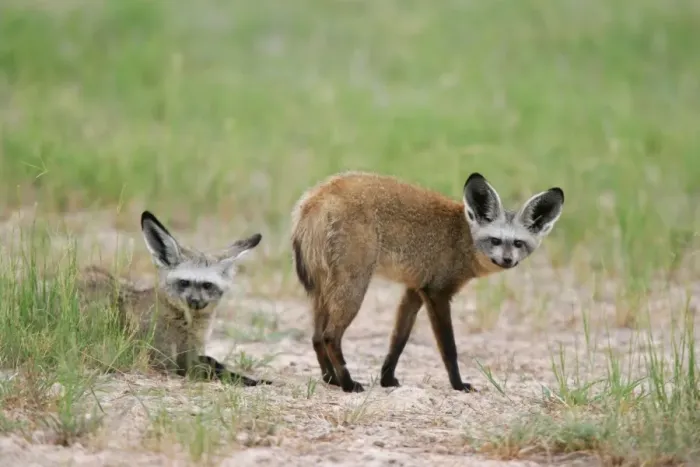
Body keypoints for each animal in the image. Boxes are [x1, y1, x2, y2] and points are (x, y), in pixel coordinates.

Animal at [76, 210, 272, 386]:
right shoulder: (165, 362)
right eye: (184, 282)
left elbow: (215, 364)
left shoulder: (190, 355)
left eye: (207, 285)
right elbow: (213, 369)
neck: (187, 327)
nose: (194, 300)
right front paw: (250, 380)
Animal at [291, 171, 564, 393]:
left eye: (518, 243)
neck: (463, 238)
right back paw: (347, 384)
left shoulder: (414, 290)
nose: (507, 260)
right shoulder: (437, 293)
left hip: (324, 291)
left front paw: (387, 380)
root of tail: (318, 195)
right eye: (495, 241)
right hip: (354, 288)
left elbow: (398, 341)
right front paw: (458, 385)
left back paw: (330, 379)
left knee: (316, 338)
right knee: (330, 337)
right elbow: (449, 348)